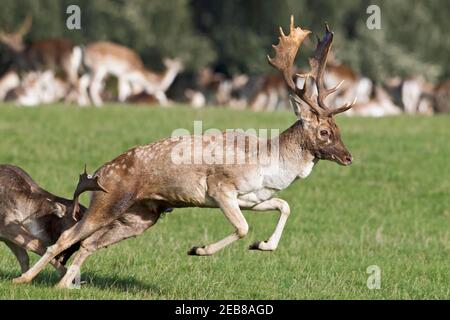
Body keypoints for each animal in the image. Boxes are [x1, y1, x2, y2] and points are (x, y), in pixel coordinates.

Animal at [14, 15, 356, 288]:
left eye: (338, 128)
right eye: (324, 132)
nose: (348, 157)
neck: (269, 165)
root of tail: (99, 172)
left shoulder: (253, 198)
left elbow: (284, 206)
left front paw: (262, 245)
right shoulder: (220, 188)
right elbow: (242, 227)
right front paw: (198, 249)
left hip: (139, 216)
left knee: (89, 244)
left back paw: (63, 286)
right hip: (109, 200)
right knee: (66, 237)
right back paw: (24, 279)